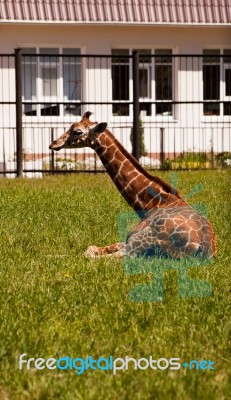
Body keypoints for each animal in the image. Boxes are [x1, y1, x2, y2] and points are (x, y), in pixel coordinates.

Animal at [49, 112, 217, 260]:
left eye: (77, 132)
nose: (53, 143)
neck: (151, 204)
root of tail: (204, 249)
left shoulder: (131, 239)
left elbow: (90, 252)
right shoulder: (126, 240)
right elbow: (91, 247)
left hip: (147, 238)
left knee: (115, 257)